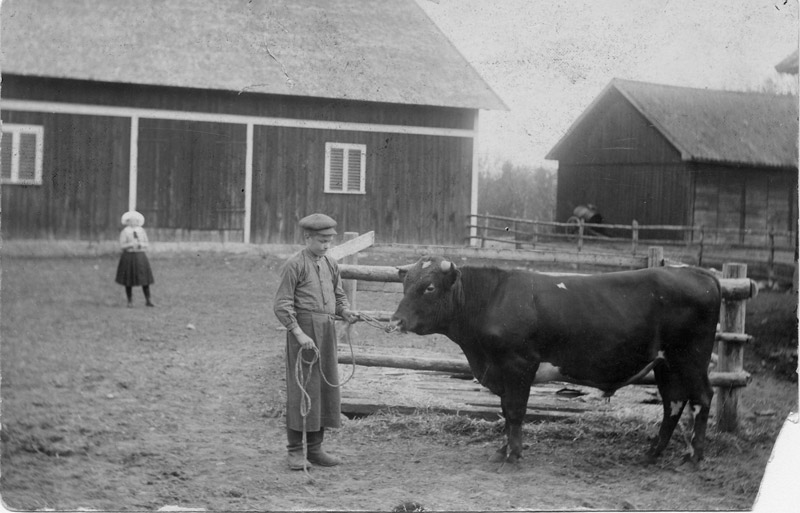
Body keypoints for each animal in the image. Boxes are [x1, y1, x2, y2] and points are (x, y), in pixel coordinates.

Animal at [388, 255, 720, 464]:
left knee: (702, 397)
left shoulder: (519, 364)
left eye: (429, 287)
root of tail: (697, 272)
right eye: (405, 285)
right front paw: (503, 450)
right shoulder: (502, 372)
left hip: (691, 359)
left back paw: (694, 455)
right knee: (674, 403)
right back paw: (652, 454)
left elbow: (515, 411)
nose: (396, 321)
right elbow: (505, 411)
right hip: (666, 364)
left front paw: (513, 455)